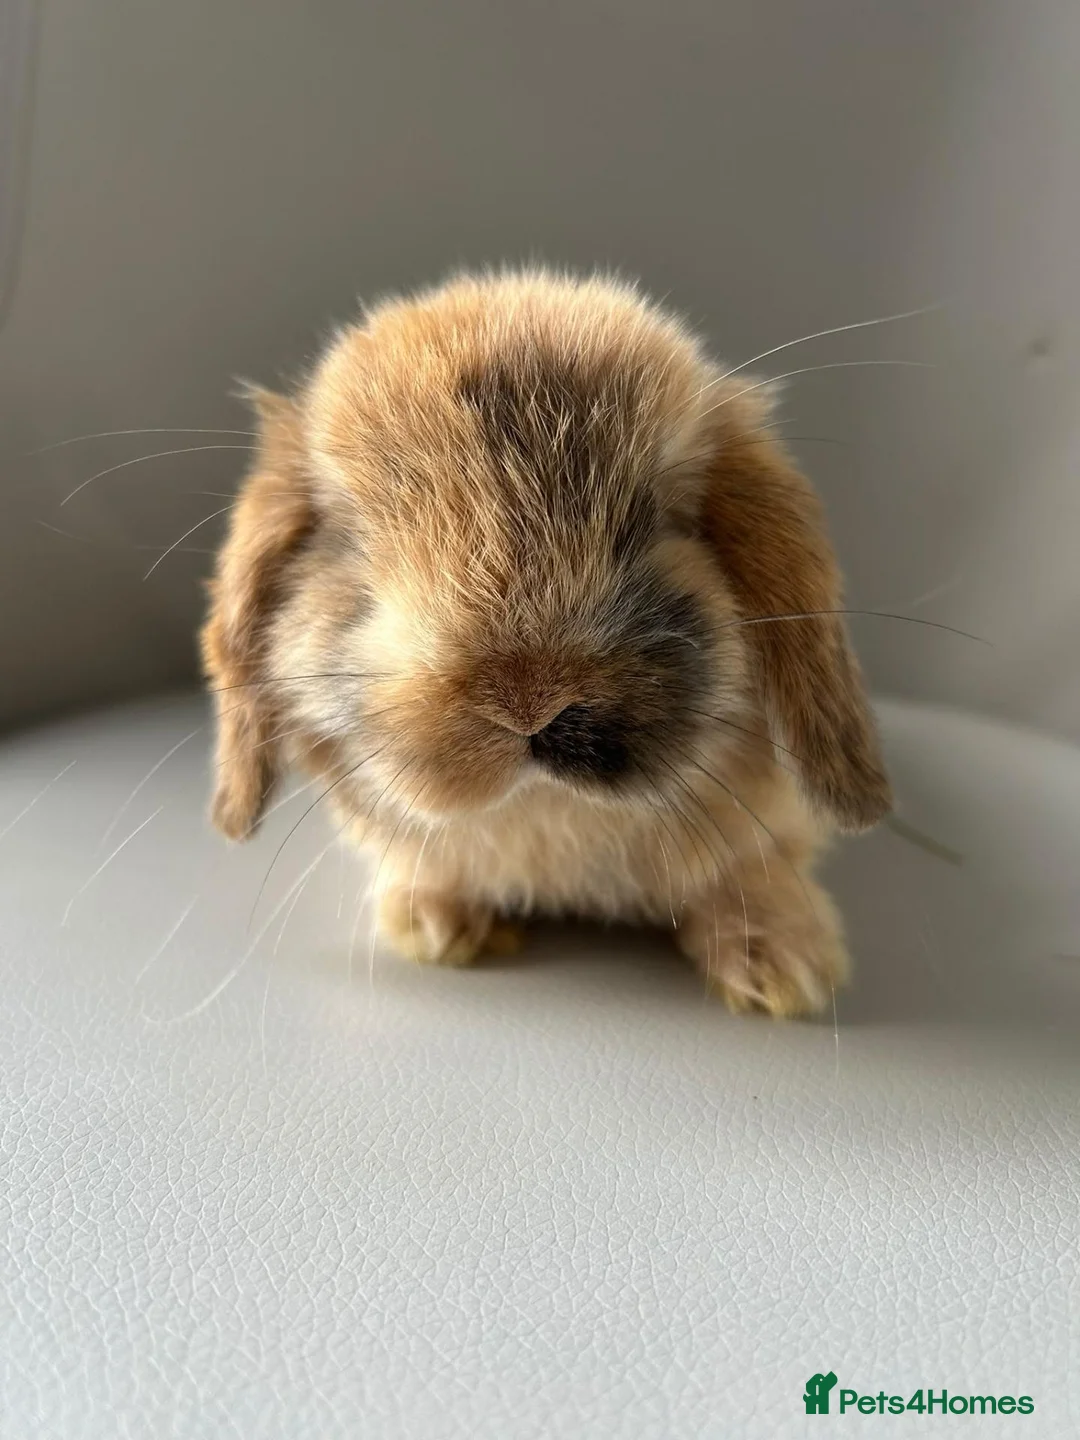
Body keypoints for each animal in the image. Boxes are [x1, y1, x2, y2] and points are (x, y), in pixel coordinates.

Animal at [201, 269, 891, 1018]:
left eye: (656, 521)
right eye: (352, 542)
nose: (528, 698)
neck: (550, 811)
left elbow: (750, 875)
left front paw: (784, 969)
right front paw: (436, 927)